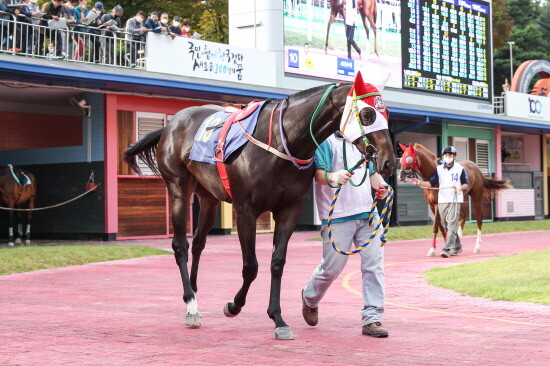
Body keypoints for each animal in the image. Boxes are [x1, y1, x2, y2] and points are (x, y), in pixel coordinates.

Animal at [125, 73, 396, 340]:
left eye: (386, 113)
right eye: (368, 114)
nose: (389, 162)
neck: (281, 142)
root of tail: (171, 124)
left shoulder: (289, 209)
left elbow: (277, 263)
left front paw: (278, 319)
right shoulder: (246, 210)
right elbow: (251, 266)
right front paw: (234, 305)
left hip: (208, 196)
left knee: (199, 243)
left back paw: (194, 290)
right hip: (178, 189)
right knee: (181, 245)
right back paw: (191, 305)